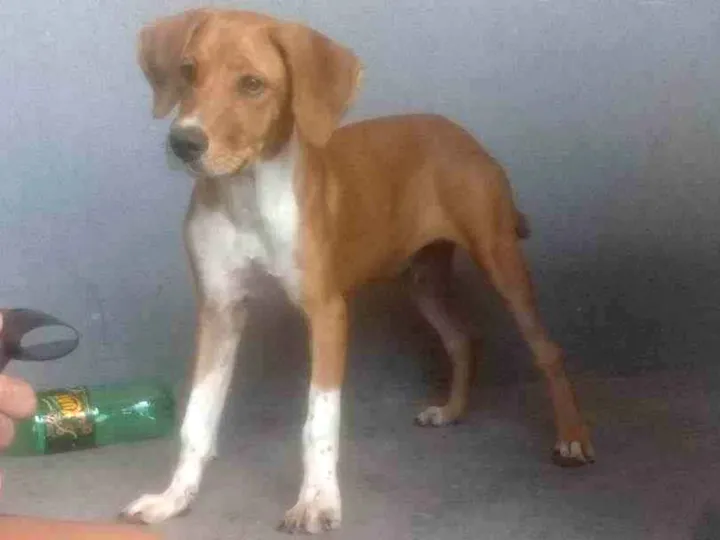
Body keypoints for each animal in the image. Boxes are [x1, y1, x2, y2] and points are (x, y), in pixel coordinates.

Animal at [121, 8, 594, 534]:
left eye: (252, 84)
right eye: (187, 72)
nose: (183, 142)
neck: (246, 196)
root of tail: (460, 134)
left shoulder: (327, 313)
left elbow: (318, 420)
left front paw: (318, 502)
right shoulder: (220, 310)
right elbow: (197, 420)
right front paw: (174, 498)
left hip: (500, 260)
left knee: (546, 350)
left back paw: (572, 438)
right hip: (422, 280)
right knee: (461, 338)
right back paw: (450, 411)